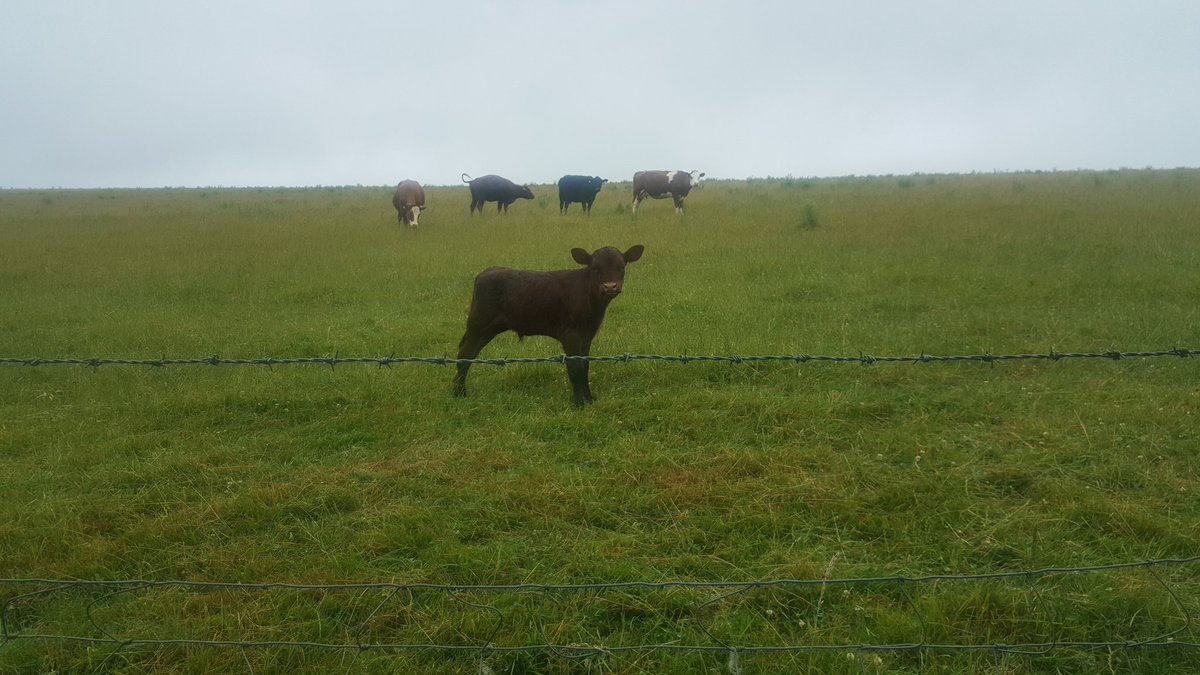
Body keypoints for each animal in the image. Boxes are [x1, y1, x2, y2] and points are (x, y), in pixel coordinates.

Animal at [452, 244, 645, 407]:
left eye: (621, 267)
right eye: (595, 268)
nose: (610, 287)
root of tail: (487, 271)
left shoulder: (586, 336)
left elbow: (585, 366)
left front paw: (589, 399)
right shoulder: (571, 335)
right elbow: (575, 368)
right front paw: (578, 403)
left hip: (487, 328)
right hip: (478, 324)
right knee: (465, 354)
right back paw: (459, 393)